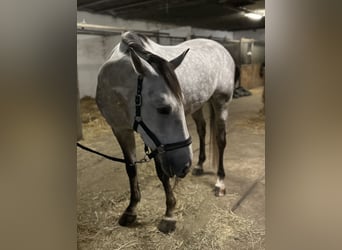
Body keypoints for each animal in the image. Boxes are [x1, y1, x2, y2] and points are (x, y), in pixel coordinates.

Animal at [96, 32, 235, 233]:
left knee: (220, 140)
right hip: (198, 105)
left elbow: (162, 174)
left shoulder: (156, 143)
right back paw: (199, 166)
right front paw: (131, 210)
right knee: (202, 130)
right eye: (163, 108)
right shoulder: (121, 130)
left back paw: (219, 183)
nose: (185, 165)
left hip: (221, 101)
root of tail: (220, 46)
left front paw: (169, 214)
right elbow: (131, 168)